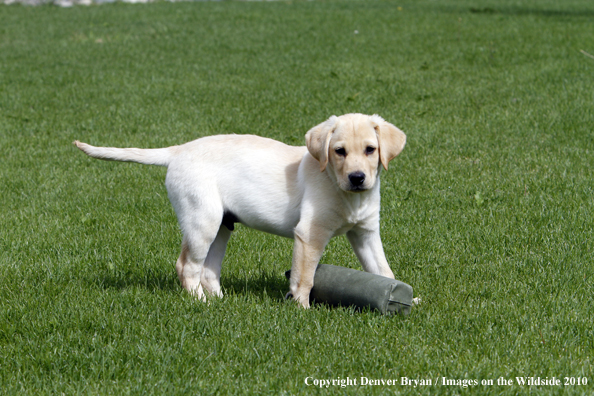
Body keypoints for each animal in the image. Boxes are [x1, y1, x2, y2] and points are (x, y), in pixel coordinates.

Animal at [74, 113, 404, 308]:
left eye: (370, 150)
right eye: (339, 151)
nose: (357, 178)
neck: (341, 189)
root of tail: (179, 150)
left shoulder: (365, 233)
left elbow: (382, 269)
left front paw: (404, 296)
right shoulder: (310, 233)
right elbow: (305, 276)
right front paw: (301, 308)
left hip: (222, 224)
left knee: (209, 270)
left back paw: (221, 302)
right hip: (202, 220)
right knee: (187, 266)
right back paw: (200, 303)